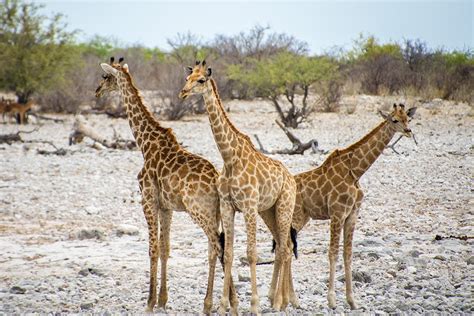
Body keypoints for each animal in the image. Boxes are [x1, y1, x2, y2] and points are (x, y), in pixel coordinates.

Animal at [96, 57, 237, 314]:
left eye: (106, 77)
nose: (97, 91)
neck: (145, 144)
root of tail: (216, 179)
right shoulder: (166, 207)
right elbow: (165, 248)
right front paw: (162, 299)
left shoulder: (148, 200)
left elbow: (152, 249)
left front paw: (149, 301)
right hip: (217, 212)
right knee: (221, 246)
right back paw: (231, 301)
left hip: (199, 211)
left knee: (216, 246)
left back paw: (211, 303)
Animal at [180, 60, 298, 314]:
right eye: (187, 78)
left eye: (201, 80)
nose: (182, 93)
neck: (229, 157)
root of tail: (291, 177)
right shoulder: (228, 206)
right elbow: (229, 254)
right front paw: (224, 306)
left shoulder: (249, 207)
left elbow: (251, 254)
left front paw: (254, 306)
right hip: (269, 211)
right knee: (283, 247)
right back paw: (280, 299)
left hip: (284, 205)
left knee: (285, 248)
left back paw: (280, 301)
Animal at [270, 103, 414, 308]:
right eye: (394, 120)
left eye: (407, 119)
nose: (408, 131)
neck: (355, 171)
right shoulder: (337, 213)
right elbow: (333, 253)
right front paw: (331, 300)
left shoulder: (352, 214)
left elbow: (348, 254)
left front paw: (352, 301)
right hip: (294, 218)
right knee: (286, 248)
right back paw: (284, 300)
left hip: (300, 218)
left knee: (283, 247)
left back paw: (279, 298)